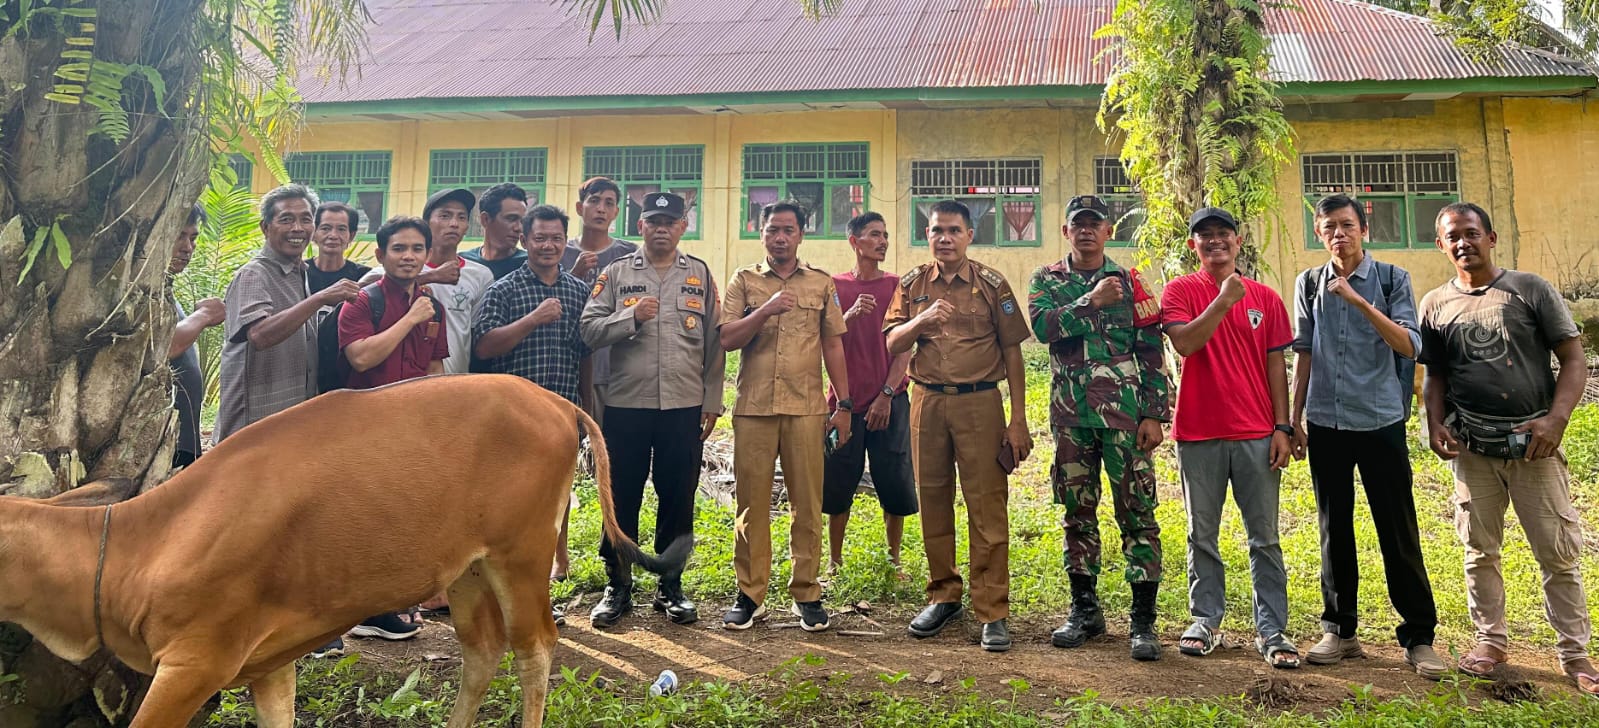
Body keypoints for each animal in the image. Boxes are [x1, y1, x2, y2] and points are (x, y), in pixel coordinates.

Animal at [0, 376, 681, 728]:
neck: (138, 546)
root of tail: (555, 400)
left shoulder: (194, 665)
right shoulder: (268, 663)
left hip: (521, 557)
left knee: (535, 648)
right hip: (466, 569)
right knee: (482, 652)